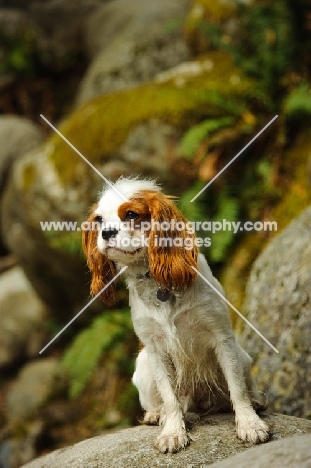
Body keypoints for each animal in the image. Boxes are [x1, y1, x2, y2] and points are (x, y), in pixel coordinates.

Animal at [83, 177, 270, 452]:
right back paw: (155, 414)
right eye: (99, 220)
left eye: (131, 214)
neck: (156, 280)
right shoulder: (155, 349)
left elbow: (237, 388)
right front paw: (173, 432)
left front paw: (249, 423)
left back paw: (256, 402)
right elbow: (170, 399)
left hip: (243, 357)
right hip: (143, 364)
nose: (106, 233)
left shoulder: (222, 338)